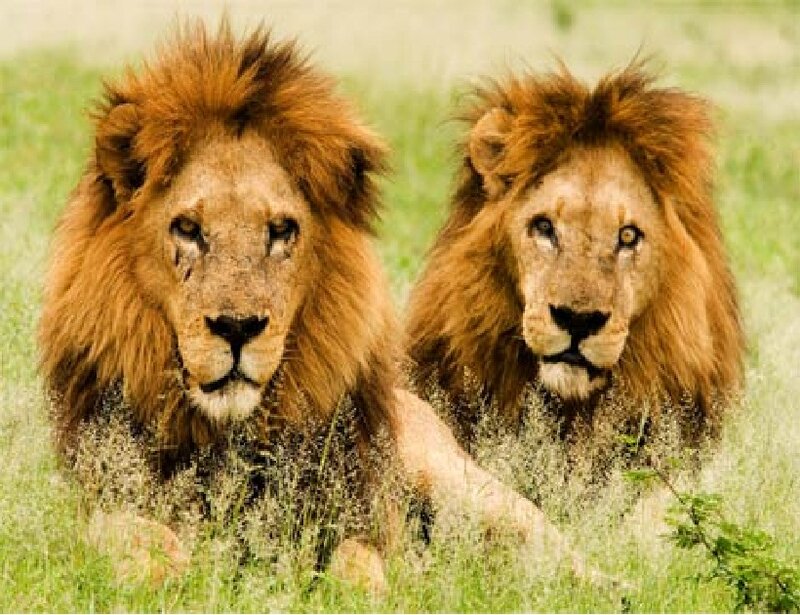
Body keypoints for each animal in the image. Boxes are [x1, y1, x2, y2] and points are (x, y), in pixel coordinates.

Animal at [37, 22, 590, 591]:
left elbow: (359, 567)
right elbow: (140, 540)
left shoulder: (355, 511)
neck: (230, 436)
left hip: (468, 490)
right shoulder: (97, 500)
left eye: (281, 230)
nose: (237, 328)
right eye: (187, 229)